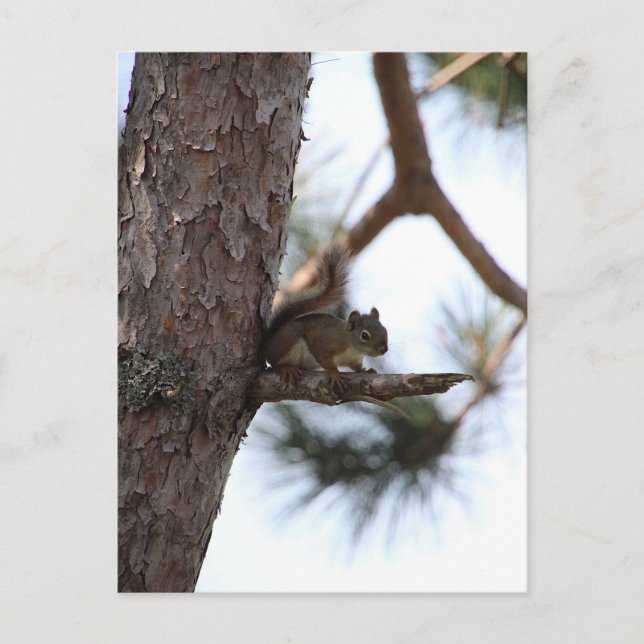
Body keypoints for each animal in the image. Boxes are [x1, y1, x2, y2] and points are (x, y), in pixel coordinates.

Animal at [261, 248, 389, 394]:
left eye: (385, 330)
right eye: (365, 335)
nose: (383, 350)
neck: (351, 346)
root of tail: (267, 344)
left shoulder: (354, 359)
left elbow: (356, 367)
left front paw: (365, 371)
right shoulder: (324, 344)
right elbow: (324, 359)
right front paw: (335, 374)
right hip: (289, 338)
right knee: (274, 362)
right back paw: (285, 368)